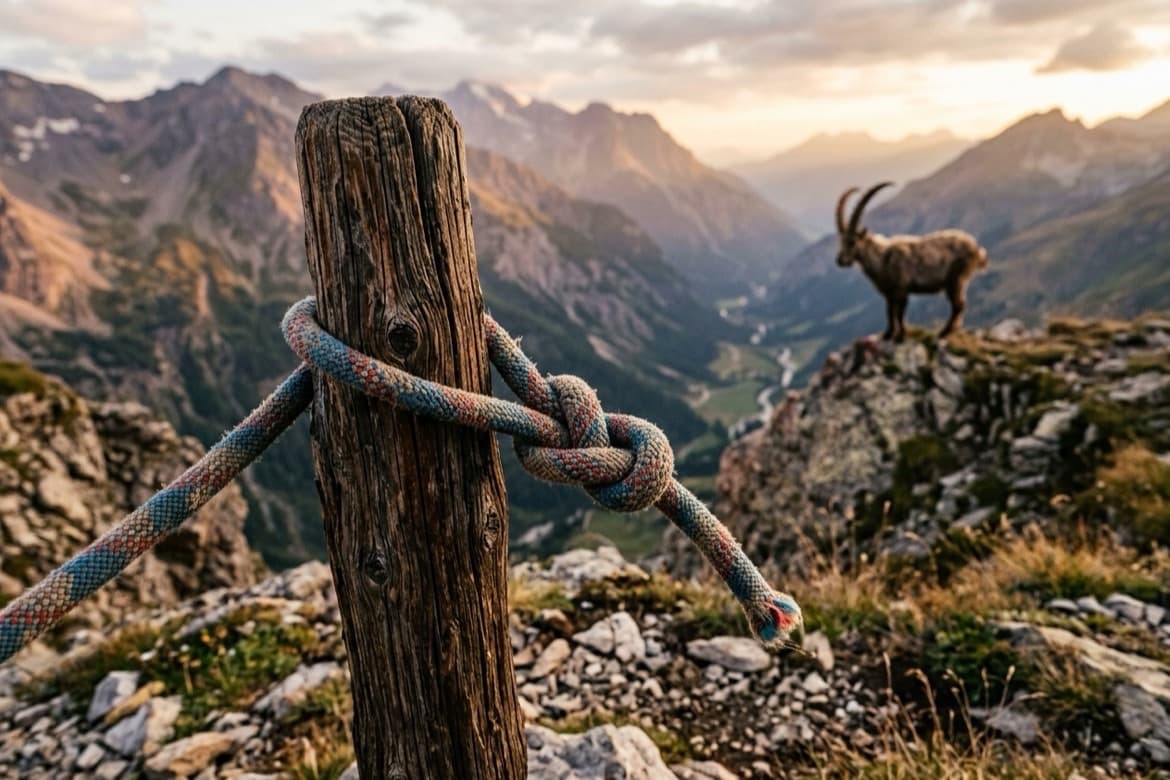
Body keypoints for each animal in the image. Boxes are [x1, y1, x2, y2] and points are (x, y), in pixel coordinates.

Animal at [835, 182, 988, 342]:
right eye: (841, 241)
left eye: (852, 242)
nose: (840, 260)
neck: (883, 259)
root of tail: (976, 249)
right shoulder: (889, 294)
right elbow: (889, 312)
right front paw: (888, 334)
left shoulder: (902, 289)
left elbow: (900, 314)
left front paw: (900, 337)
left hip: (957, 278)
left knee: (959, 305)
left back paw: (944, 332)